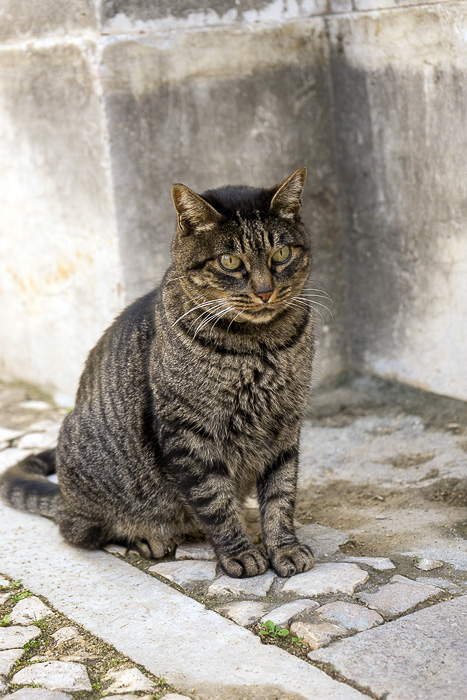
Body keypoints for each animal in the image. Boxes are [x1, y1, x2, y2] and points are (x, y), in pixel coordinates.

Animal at [0, 167, 316, 576]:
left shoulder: (285, 424)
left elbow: (281, 493)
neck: (259, 346)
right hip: (87, 468)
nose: (264, 291)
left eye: (281, 254)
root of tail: (66, 497)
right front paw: (239, 552)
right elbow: (214, 499)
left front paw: (284, 547)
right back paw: (147, 537)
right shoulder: (186, 430)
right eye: (230, 261)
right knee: (82, 532)